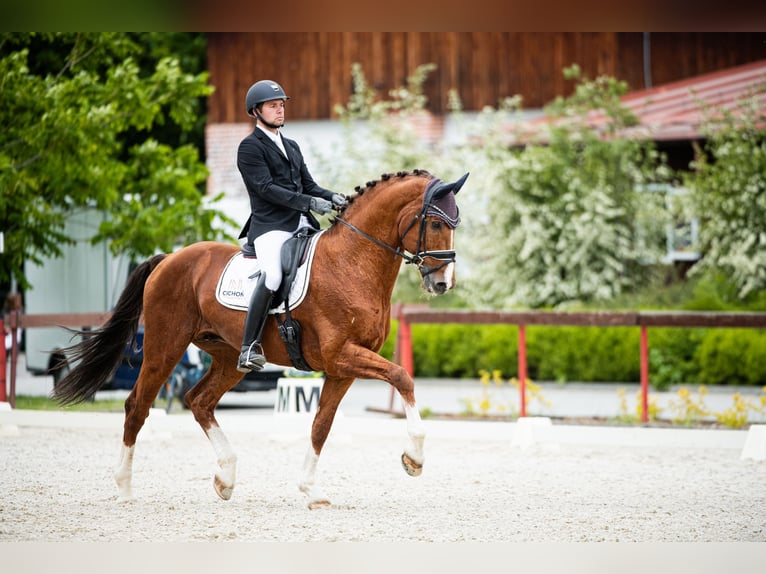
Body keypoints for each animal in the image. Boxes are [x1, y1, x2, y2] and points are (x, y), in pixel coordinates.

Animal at [55, 170, 468, 508]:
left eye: (455, 223)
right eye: (434, 223)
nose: (442, 283)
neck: (352, 263)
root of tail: (169, 257)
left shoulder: (342, 367)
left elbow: (322, 425)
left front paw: (311, 490)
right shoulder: (342, 355)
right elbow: (402, 377)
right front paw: (414, 458)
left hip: (227, 357)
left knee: (199, 401)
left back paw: (225, 477)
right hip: (164, 347)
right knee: (137, 407)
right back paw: (125, 487)